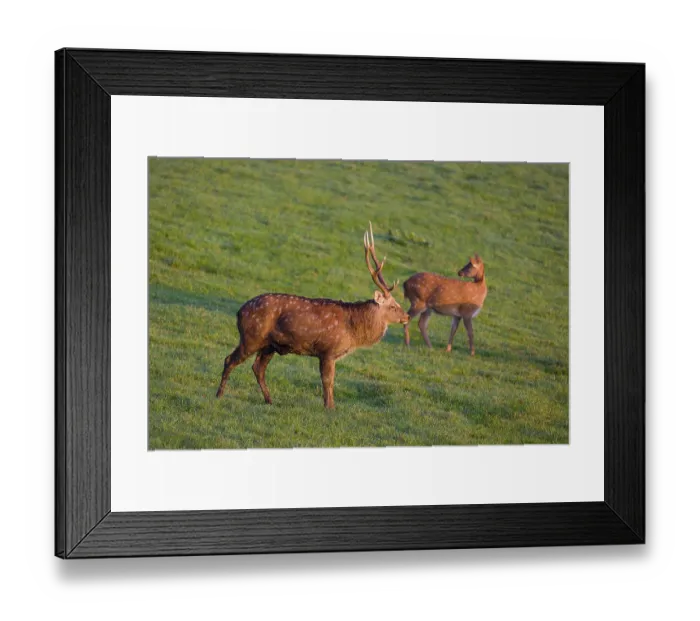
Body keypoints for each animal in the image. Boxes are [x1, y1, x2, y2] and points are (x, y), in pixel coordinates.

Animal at [215, 224, 410, 409]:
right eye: (393, 306)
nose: (407, 316)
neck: (353, 331)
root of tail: (239, 312)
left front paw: (330, 406)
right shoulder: (328, 350)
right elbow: (328, 381)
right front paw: (330, 408)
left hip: (269, 345)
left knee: (258, 368)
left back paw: (269, 400)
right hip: (251, 337)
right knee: (229, 360)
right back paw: (219, 395)